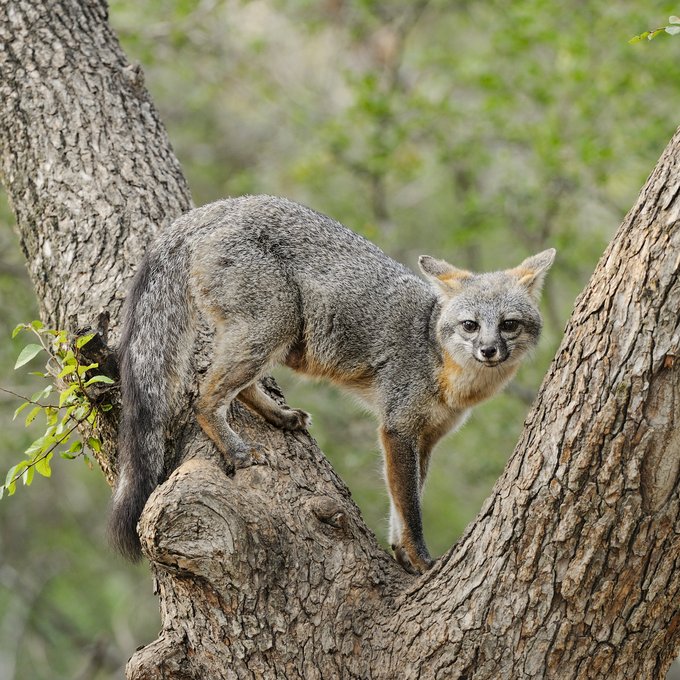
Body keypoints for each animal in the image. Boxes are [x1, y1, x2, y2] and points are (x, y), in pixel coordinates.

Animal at [109, 194, 555, 574]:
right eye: (470, 326)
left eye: (508, 325)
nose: (489, 350)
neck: (438, 357)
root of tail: (219, 206)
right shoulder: (397, 428)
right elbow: (410, 508)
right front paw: (422, 559)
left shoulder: (425, 439)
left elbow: (401, 503)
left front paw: (401, 552)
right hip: (275, 324)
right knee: (203, 396)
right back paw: (235, 447)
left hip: (273, 336)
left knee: (238, 386)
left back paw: (279, 416)